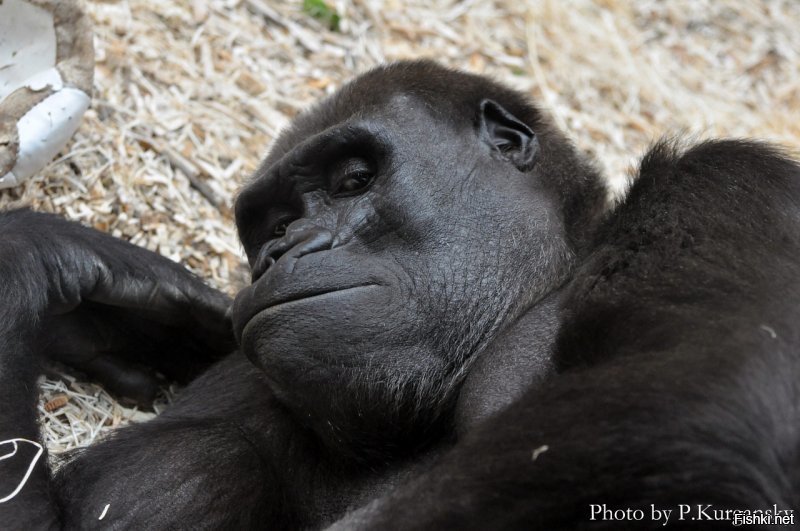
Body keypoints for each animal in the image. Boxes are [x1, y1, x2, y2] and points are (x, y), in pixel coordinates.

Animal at [1, 60, 800, 528]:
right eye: (274, 226)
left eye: (355, 180)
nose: (284, 253)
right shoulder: (243, 377)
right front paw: (47, 264)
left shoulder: (727, 193)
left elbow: (699, 399)